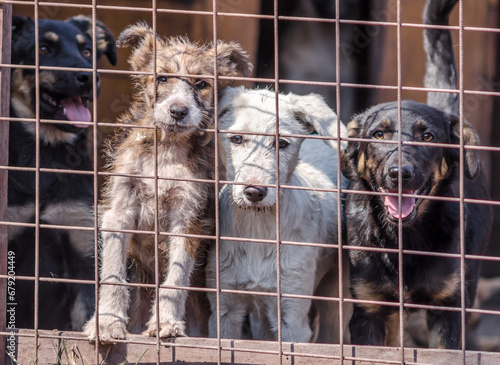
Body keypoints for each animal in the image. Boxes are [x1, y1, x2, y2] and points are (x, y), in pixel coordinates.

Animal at [84, 22, 254, 342]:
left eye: (201, 84)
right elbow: (113, 274)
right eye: (162, 77)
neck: (167, 150)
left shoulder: (188, 218)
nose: (178, 111)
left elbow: (175, 279)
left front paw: (166, 323)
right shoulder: (119, 210)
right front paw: (107, 322)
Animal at [207, 86, 348, 342]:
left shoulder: (292, 316)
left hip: (336, 300)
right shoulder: (224, 309)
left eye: (281, 143)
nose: (254, 192)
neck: (258, 229)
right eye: (237, 139)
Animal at [340, 0, 492, 348]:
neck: (404, 238)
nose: (400, 174)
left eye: (428, 137)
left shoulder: (449, 312)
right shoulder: (369, 311)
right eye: (378, 135)